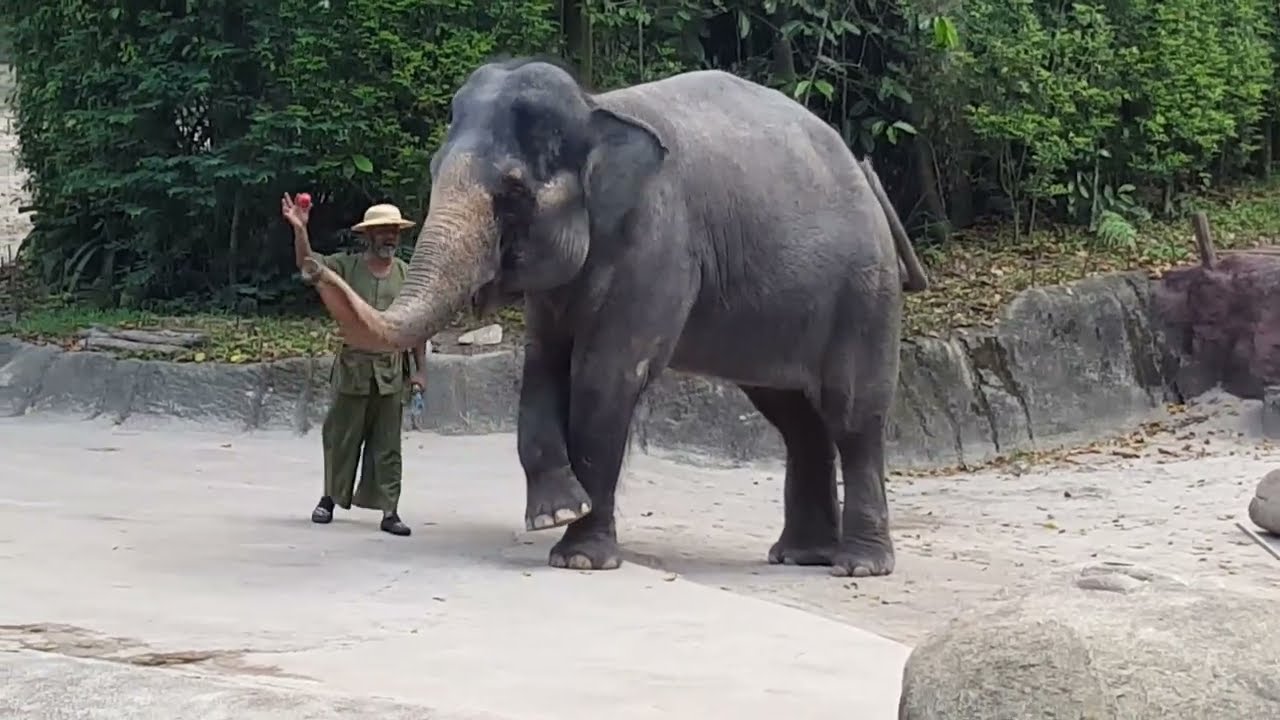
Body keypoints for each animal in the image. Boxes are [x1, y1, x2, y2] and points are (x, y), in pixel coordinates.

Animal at [302, 56, 931, 578]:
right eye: (434, 169)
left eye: (513, 192)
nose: (309, 253)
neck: (597, 106)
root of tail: (866, 176)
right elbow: (542, 370)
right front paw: (554, 515)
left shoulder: (660, 243)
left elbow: (604, 378)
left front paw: (579, 557)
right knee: (795, 418)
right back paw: (800, 556)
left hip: (863, 291)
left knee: (852, 413)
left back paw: (857, 566)